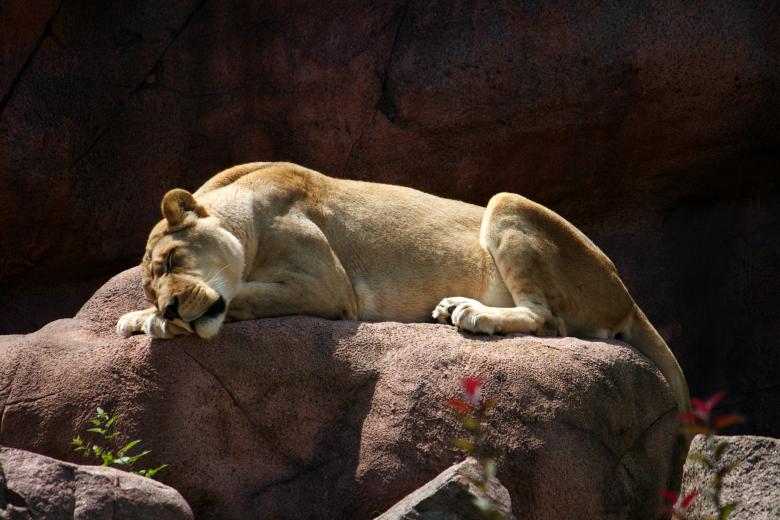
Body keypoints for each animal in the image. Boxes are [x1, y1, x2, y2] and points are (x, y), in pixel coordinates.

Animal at [117, 162, 691, 412]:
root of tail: (627, 295)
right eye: (151, 286)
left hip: (507, 201)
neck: (245, 212)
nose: (170, 308)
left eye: (172, 260)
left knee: (546, 318)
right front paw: (140, 318)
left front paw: (156, 324)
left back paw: (471, 313)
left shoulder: (329, 288)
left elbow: (240, 297)